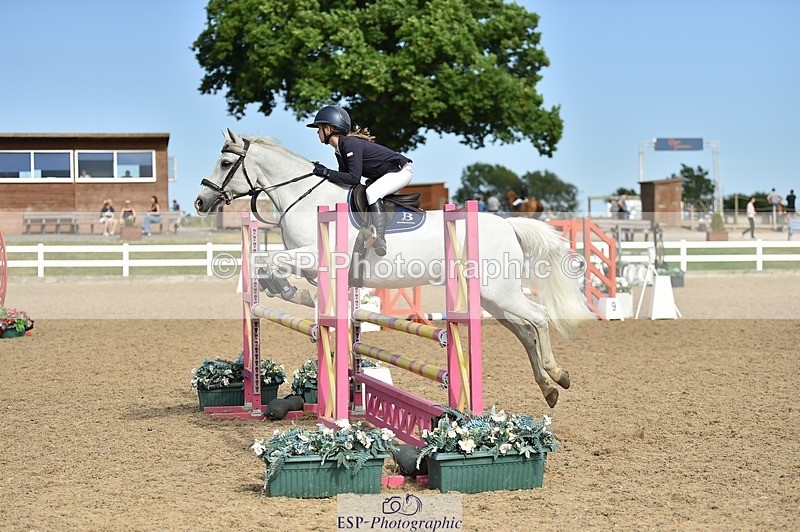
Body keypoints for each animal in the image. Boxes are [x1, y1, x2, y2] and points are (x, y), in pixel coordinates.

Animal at [195, 129, 593, 407]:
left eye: (226, 164)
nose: (201, 201)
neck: (307, 199)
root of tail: (509, 225)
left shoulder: (314, 256)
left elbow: (266, 260)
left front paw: (290, 292)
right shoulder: (309, 263)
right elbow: (267, 265)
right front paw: (290, 292)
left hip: (500, 292)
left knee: (539, 318)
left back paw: (557, 373)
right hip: (490, 298)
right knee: (525, 331)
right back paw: (549, 388)